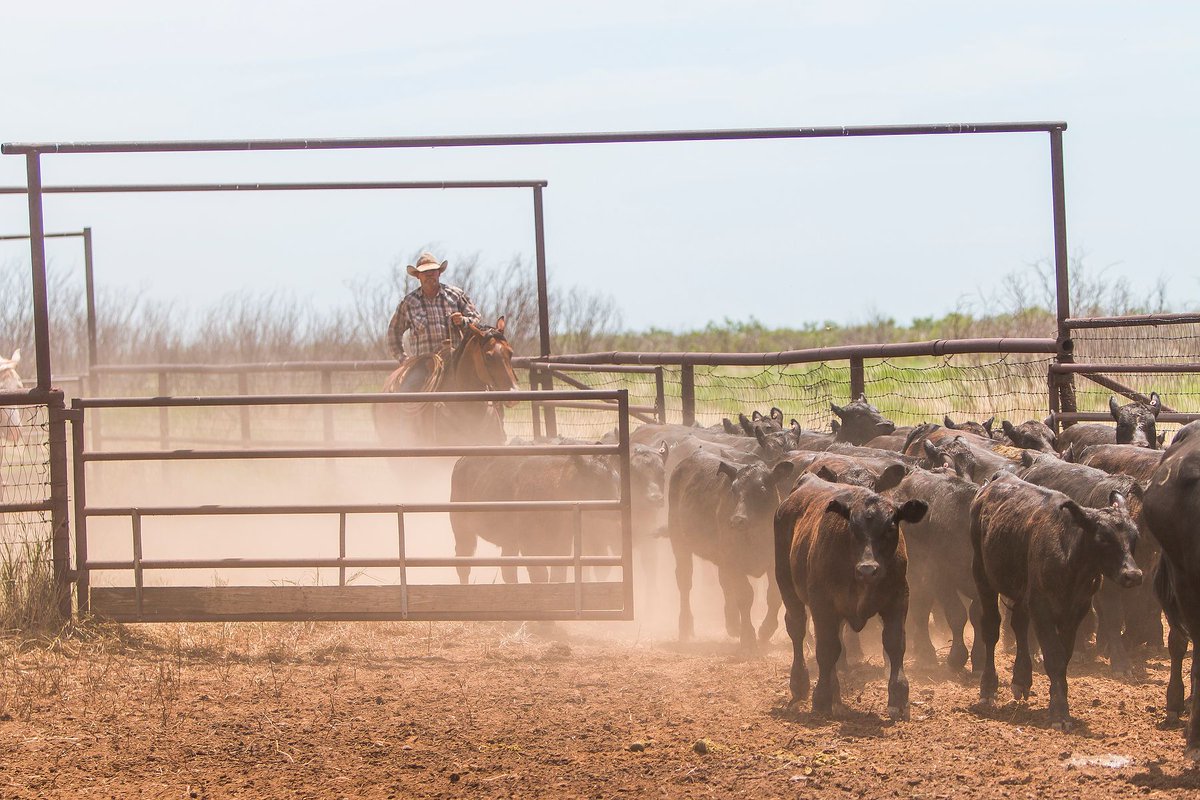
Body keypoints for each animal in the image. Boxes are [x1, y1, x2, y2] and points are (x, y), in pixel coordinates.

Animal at [668, 445, 794, 648]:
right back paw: (686, 626)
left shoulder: (774, 562)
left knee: (725, 583)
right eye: (733, 489)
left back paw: (733, 624)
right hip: (679, 542)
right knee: (685, 581)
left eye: (762, 489)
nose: (737, 520)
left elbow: (774, 595)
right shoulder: (734, 561)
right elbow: (745, 595)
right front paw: (748, 636)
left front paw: (765, 630)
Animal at [774, 473, 927, 719]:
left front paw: (899, 698)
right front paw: (821, 697)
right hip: (786, 585)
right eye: (853, 528)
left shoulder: (898, 599)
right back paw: (800, 685)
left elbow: (895, 644)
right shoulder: (822, 605)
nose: (868, 569)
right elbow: (826, 649)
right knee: (797, 628)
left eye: (890, 527)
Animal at [971, 472, 1142, 730]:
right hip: (983, 579)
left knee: (1019, 624)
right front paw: (1060, 712)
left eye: (1134, 536)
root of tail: (999, 478)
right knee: (991, 629)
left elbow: (1064, 657)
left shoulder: (1075, 612)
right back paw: (988, 687)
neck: (1069, 556)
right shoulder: (1042, 609)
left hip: (1021, 592)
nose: (1132, 575)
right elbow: (1054, 657)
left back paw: (1021, 679)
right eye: (1103, 538)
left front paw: (1059, 701)